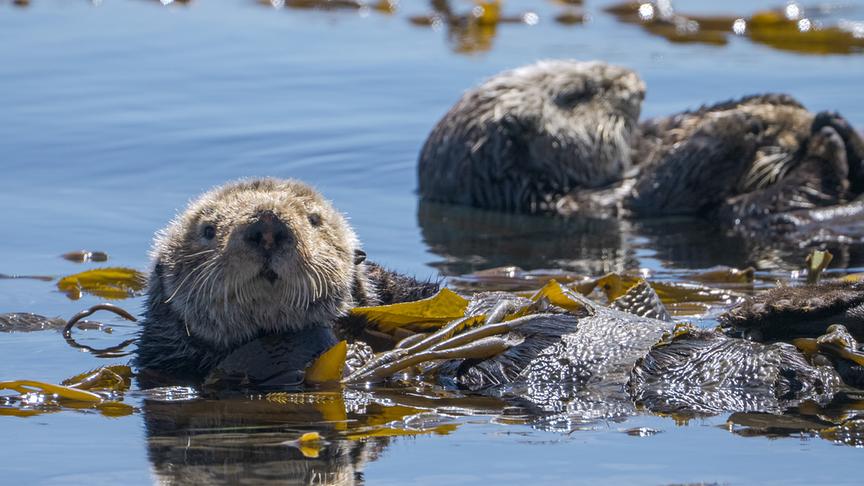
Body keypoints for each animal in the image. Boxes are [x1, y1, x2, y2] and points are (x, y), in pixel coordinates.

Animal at [418, 60, 864, 232]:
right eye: (575, 94)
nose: (636, 83)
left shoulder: (644, 144)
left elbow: (662, 131)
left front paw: (776, 99)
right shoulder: (603, 205)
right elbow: (665, 186)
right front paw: (739, 122)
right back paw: (829, 140)